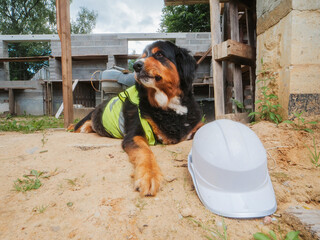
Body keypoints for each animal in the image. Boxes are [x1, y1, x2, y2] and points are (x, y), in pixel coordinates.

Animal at [71, 40, 204, 196]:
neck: (168, 106)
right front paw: (149, 175)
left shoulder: (195, 124)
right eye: (143, 56)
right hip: (84, 120)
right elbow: (145, 152)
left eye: (160, 54)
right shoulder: (134, 135)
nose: (136, 65)